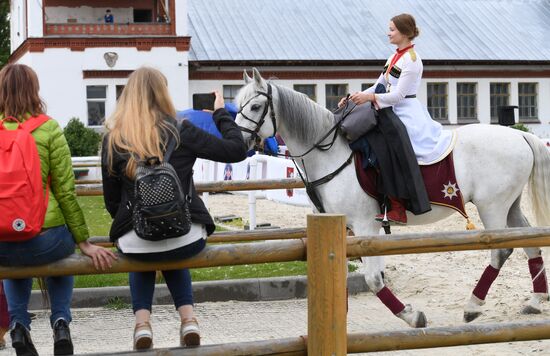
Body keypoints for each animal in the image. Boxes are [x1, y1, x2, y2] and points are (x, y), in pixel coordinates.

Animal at [238, 68, 550, 326]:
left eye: (255, 106)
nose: (240, 141)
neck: (330, 152)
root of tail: (519, 136)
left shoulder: (366, 225)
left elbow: (374, 279)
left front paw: (411, 315)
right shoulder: (343, 228)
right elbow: (342, 272)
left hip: (492, 206)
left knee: (501, 250)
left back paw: (473, 306)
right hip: (510, 205)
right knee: (530, 243)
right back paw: (535, 302)